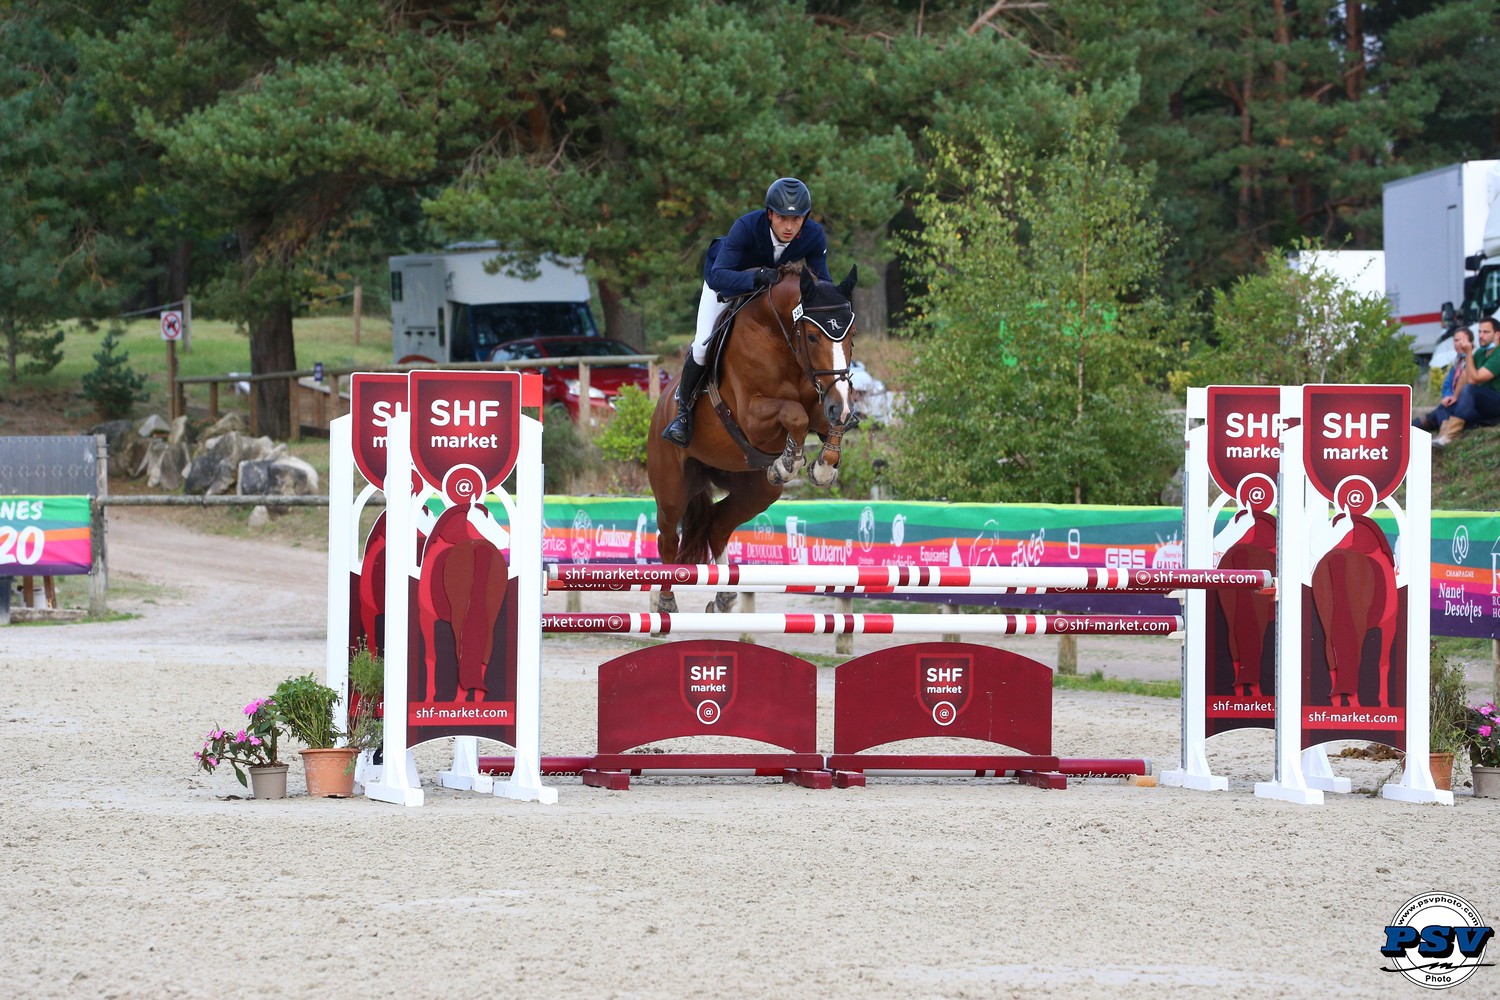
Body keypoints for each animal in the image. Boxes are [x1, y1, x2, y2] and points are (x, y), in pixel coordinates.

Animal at [647, 261, 859, 613]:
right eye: (813, 336)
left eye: (851, 335)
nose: (838, 406)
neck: (779, 334)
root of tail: (661, 405)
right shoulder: (753, 418)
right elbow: (794, 414)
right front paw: (788, 464)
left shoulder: (826, 399)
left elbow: (827, 421)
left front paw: (821, 468)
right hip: (672, 488)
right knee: (667, 539)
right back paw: (664, 601)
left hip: (755, 490)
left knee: (718, 525)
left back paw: (724, 597)